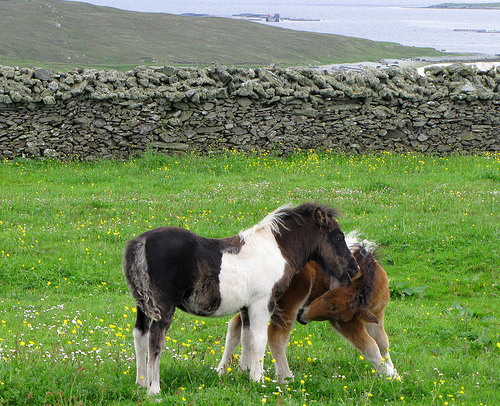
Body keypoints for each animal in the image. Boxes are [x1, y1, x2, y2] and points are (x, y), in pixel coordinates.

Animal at [123, 203, 359, 395]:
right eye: (339, 237)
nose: (354, 269)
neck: (275, 249)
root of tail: (141, 241)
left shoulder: (246, 307)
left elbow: (245, 338)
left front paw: (243, 374)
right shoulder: (263, 303)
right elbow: (259, 339)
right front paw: (257, 379)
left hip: (143, 306)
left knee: (140, 335)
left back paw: (140, 383)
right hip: (163, 307)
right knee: (155, 339)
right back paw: (154, 388)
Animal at [217, 232, 399, 381]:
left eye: (333, 307)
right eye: (328, 298)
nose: (302, 316)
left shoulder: (375, 316)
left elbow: (383, 343)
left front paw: (392, 370)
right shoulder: (347, 323)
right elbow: (370, 346)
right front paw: (392, 376)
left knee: (237, 327)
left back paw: (226, 370)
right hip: (287, 305)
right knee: (275, 337)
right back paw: (286, 378)